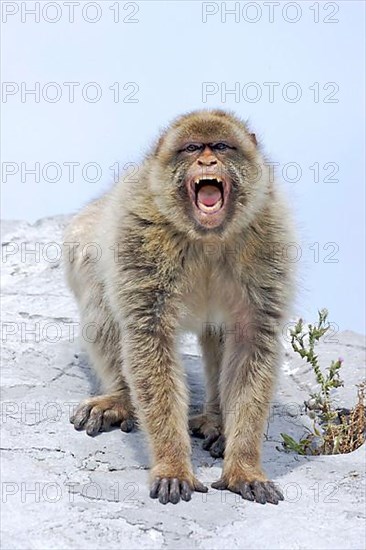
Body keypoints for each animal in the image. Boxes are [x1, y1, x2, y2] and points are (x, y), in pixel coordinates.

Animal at [63, 110, 294, 506]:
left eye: (221, 146)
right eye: (191, 148)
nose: (207, 162)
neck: (207, 237)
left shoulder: (269, 236)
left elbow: (251, 340)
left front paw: (244, 467)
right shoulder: (139, 233)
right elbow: (149, 337)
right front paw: (172, 465)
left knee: (218, 335)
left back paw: (216, 419)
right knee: (101, 299)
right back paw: (121, 399)